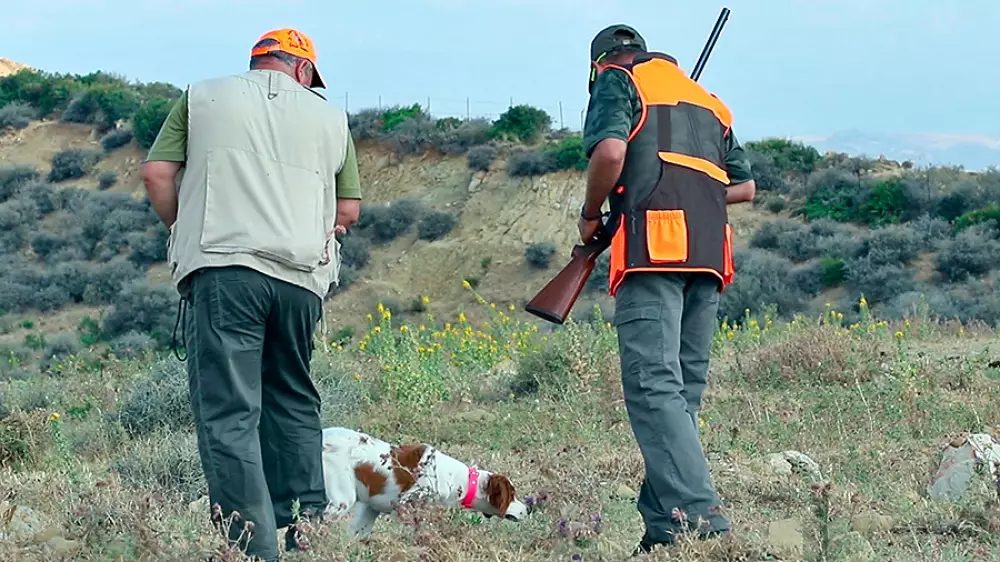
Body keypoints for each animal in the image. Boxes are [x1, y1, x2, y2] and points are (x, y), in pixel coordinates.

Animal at [322, 426, 532, 536]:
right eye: (512, 495)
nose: (528, 509)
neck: (458, 480)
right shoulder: (405, 507)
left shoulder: (370, 509)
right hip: (341, 501)